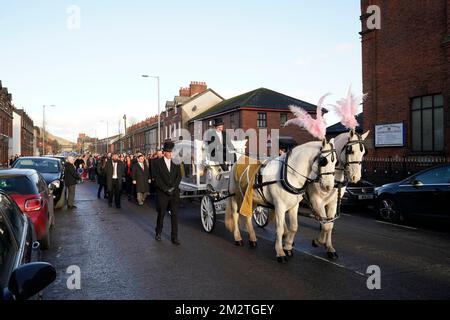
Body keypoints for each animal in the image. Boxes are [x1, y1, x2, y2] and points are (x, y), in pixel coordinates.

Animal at [306, 129, 370, 258]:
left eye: (363, 153)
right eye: (351, 150)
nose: (356, 177)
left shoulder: (333, 202)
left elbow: (329, 225)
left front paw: (329, 248)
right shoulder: (316, 201)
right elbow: (325, 224)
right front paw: (317, 241)